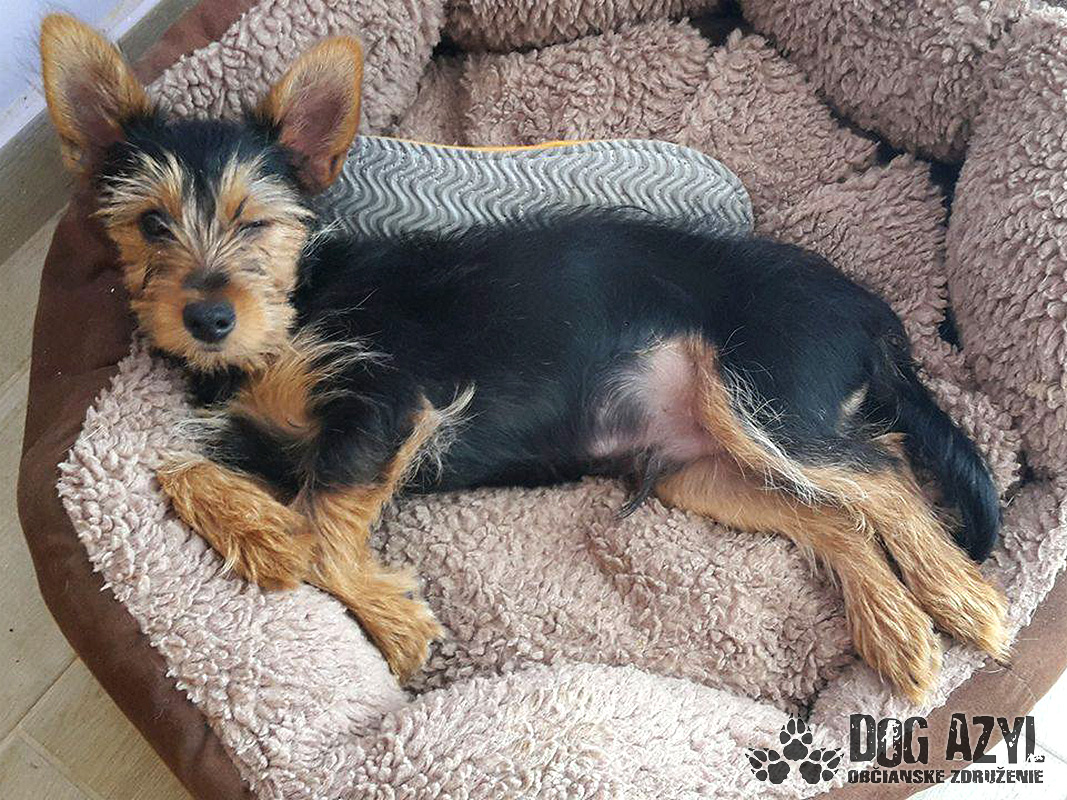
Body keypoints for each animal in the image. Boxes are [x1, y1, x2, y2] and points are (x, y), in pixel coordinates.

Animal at [41, 14, 1008, 701]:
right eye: (149, 223)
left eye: (255, 222)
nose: (205, 317)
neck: (293, 306)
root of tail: (872, 312)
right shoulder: (262, 427)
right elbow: (182, 467)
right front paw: (261, 536)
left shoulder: (387, 399)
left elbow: (323, 517)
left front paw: (387, 619)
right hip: (706, 469)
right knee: (836, 517)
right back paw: (896, 631)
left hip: (767, 398)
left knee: (885, 478)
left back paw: (964, 602)